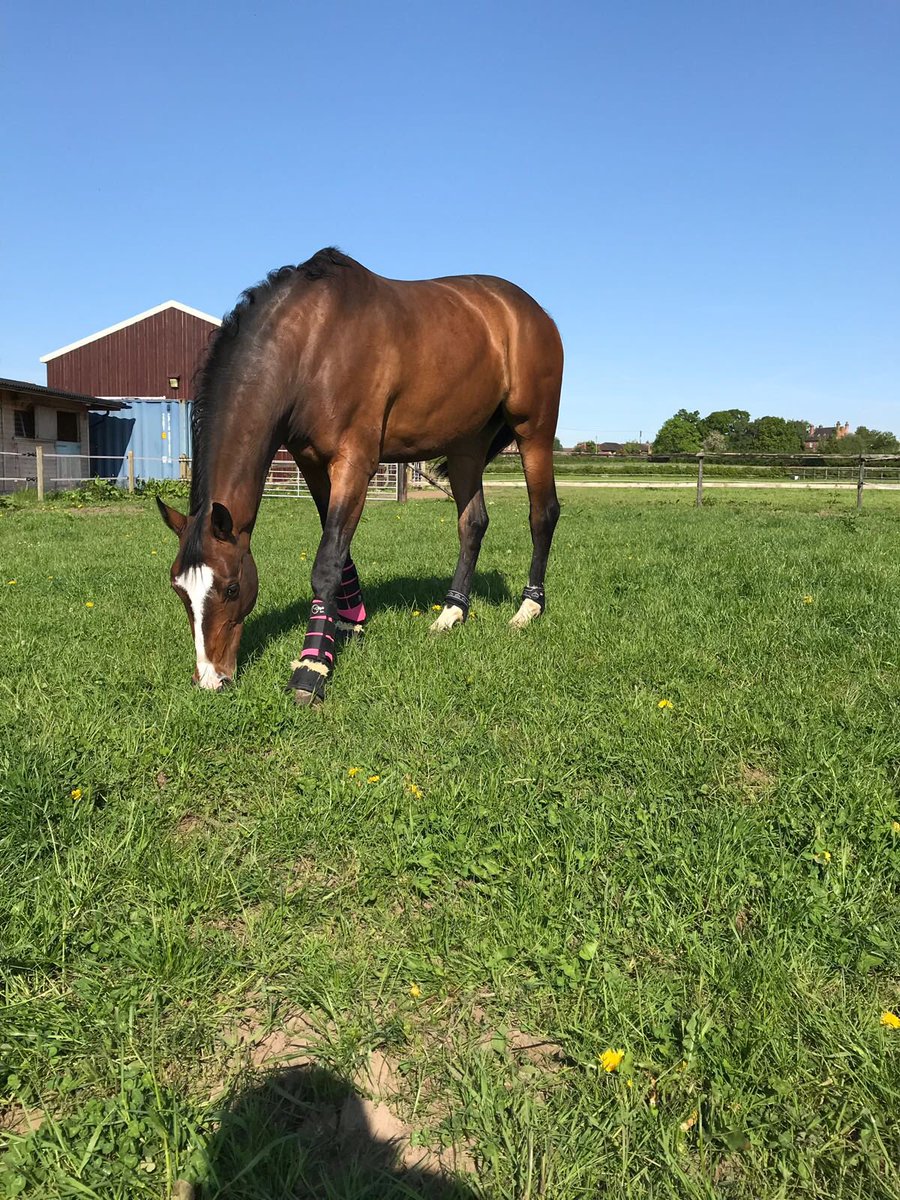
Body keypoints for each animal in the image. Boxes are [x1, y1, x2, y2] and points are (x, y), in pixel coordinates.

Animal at [157, 248, 563, 704]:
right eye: (179, 590)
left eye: (230, 588)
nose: (210, 678)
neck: (314, 340)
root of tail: (531, 310)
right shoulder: (312, 462)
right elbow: (338, 548)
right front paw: (349, 620)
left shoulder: (354, 461)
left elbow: (327, 560)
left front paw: (312, 666)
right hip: (466, 445)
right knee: (472, 523)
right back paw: (451, 612)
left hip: (534, 431)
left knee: (542, 514)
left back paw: (528, 608)